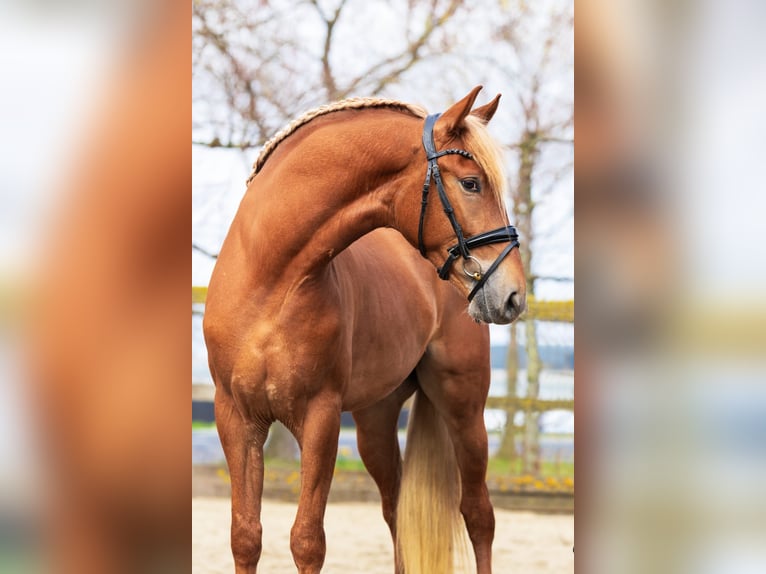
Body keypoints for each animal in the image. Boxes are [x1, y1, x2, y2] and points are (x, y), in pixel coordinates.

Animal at [204, 86, 528, 574]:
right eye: (471, 183)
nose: (513, 295)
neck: (270, 283)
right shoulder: (236, 418)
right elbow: (245, 536)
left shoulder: (320, 418)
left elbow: (307, 540)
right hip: (375, 420)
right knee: (396, 511)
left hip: (464, 408)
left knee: (478, 514)